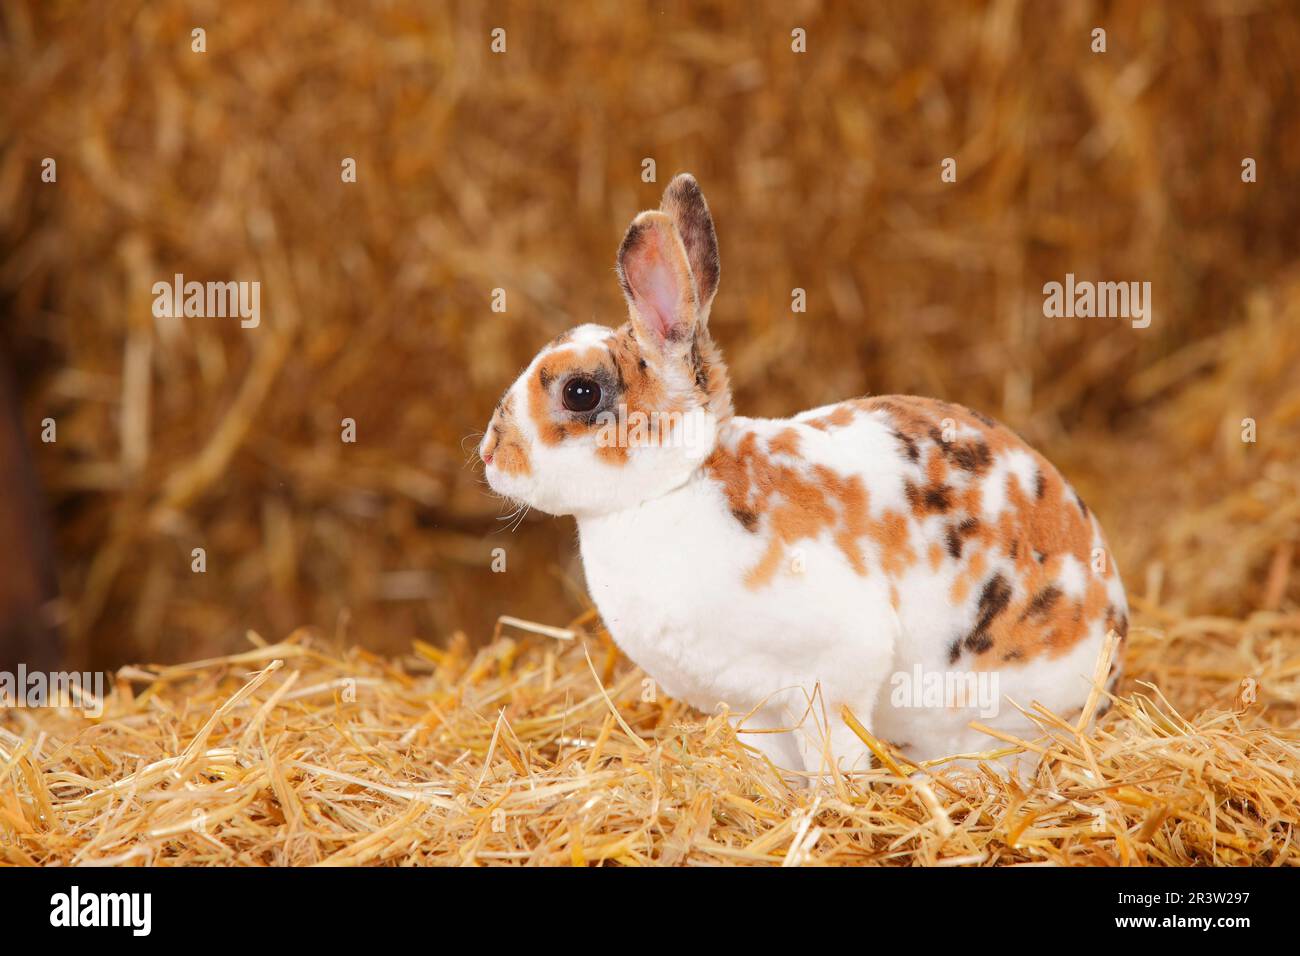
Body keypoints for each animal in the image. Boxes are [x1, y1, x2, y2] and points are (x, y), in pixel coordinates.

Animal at [480, 173, 1128, 776]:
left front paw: (828, 802)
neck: (674, 487)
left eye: (580, 392)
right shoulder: (752, 706)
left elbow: (834, 751)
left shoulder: (832, 676)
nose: (490, 453)